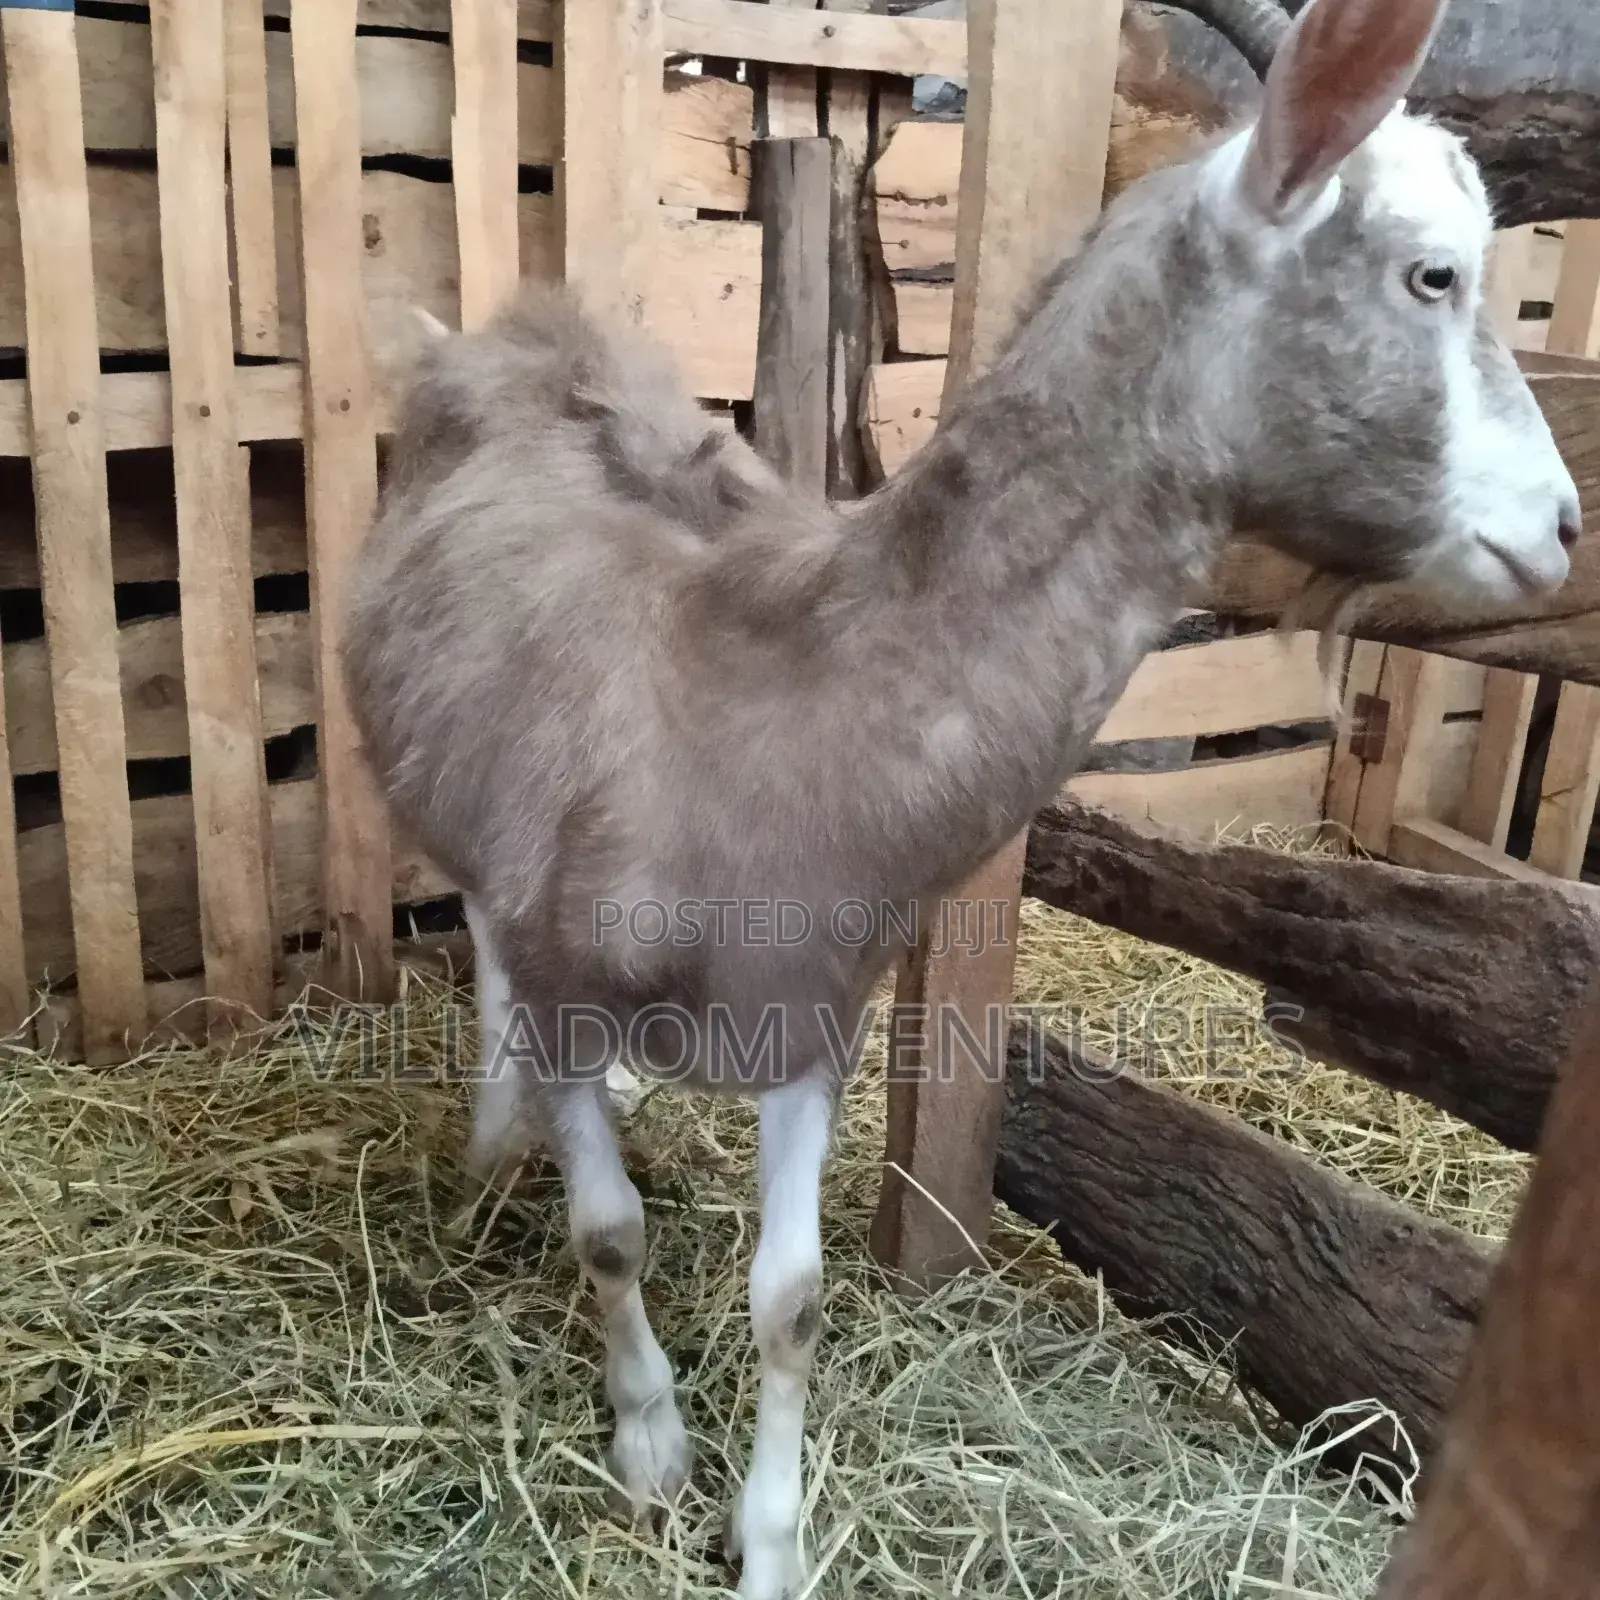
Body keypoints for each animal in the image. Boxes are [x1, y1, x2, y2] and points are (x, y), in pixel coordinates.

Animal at [343, 0, 1581, 1591]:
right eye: (1433, 272)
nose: (1558, 529)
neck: (757, 697)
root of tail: (499, 345)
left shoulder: (814, 1010)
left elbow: (794, 1296)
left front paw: (770, 1543)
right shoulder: (570, 969)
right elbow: (609, 1231)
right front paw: (649, 1452)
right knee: (486, 947)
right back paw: (499, 1138)